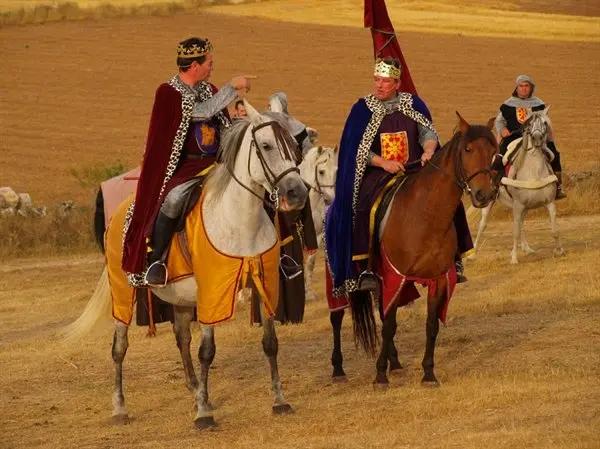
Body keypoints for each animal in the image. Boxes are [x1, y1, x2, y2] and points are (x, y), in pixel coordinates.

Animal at [64, 100, 310, 428]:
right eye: (267, 145)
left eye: (294, 148)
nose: (297, 193)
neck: (238, 222)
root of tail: (118, 212)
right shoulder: (213, 292)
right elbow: (207, 351)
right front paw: (203, 414)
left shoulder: (265, 284)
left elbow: (270, 342)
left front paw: (279, 401)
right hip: (123, 292)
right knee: (119, 347)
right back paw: (120, 408)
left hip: (179, 297)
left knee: (181, 339)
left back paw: (195, 390)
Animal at [328, 112, 496, 384]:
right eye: (468, 149)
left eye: (493, 151)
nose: (484, 195)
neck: (425, 215)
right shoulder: (395, 275)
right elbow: (388, 325)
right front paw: (380, 375)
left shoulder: (438, 279)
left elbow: (430, 325)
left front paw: (428, 373)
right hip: (337, 278)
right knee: (337, 316)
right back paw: (338, 369)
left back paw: (394, 363)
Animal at [472, 108, 564, 262]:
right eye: (529, 123)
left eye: (545, 123)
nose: (537, 138)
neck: (534, 172)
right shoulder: (518, 205)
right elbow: (514, 232)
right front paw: (514, 259)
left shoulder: (549, 203)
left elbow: (555, 230)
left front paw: (560, 251)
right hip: (490, 203)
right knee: (482, 225)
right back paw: (472, 254)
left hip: (523, 208)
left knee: (520, 224)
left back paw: (527, 248)